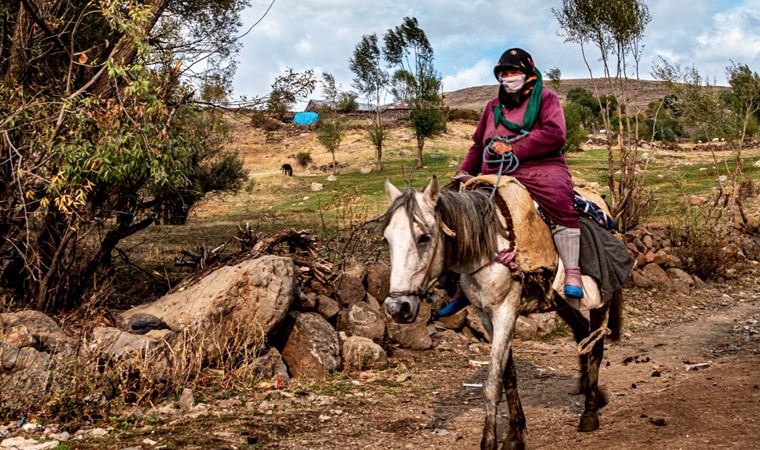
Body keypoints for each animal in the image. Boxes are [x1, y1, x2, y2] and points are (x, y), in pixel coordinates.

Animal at [382, 178, 620, 450]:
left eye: (424, 237)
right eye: (387, 239)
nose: (397, 308)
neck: (488, 248)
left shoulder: (505, 312)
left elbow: (493, 381)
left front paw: (489, 441)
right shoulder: (486, 316)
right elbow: (508, 376)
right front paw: (515, 434)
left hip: (600, 299)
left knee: (596, 347)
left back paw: (589, 413)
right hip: (561, 302)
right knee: (582, 333)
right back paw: (592, 393)